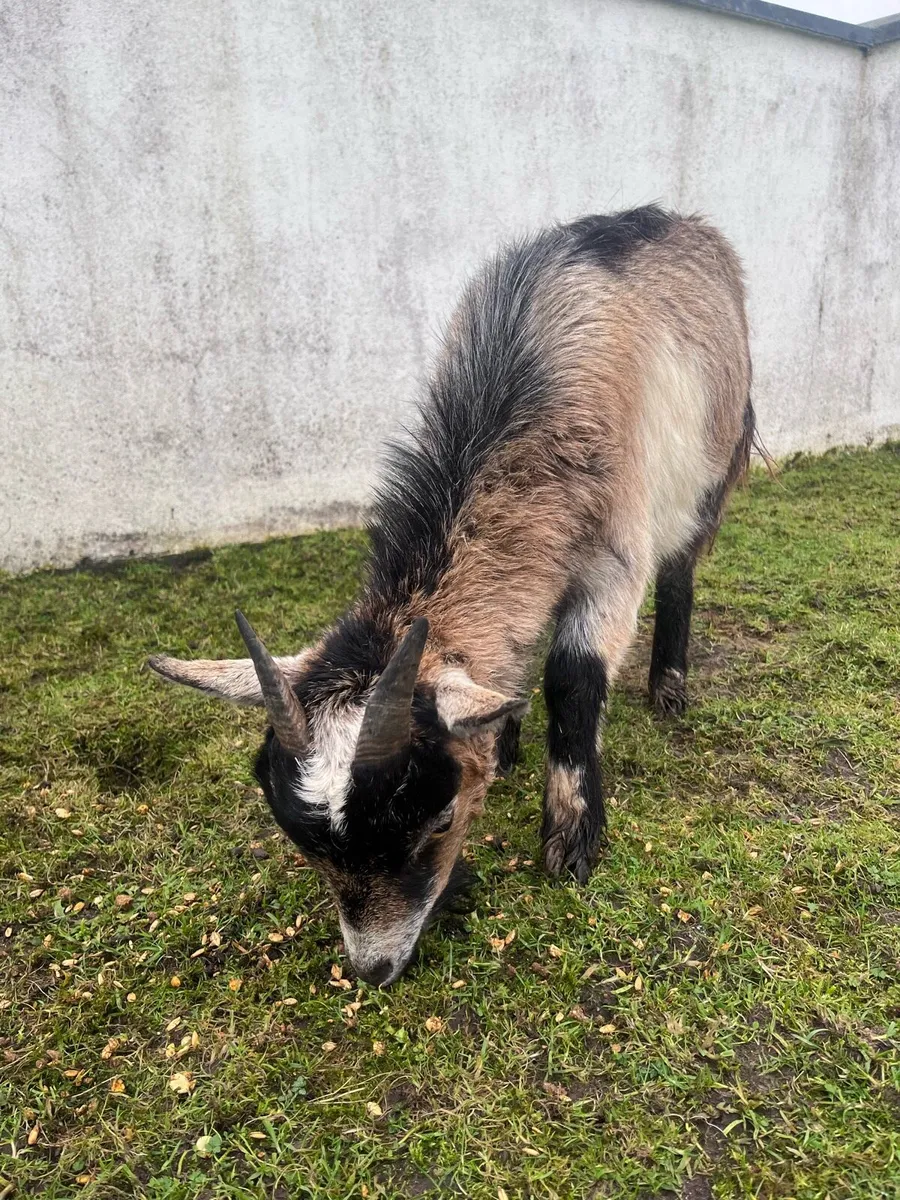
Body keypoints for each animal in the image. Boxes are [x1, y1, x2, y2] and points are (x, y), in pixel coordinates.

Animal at [149, 205, 753, 987]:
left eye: (437, 820)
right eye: (306, 845)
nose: (374, 968)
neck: (519, 392)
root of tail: (680, 220)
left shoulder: (616, 546)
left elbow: (574, 675)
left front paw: (571, 843)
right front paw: (507, 732)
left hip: (710, 463)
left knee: (681, 566)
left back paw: (669, 686)